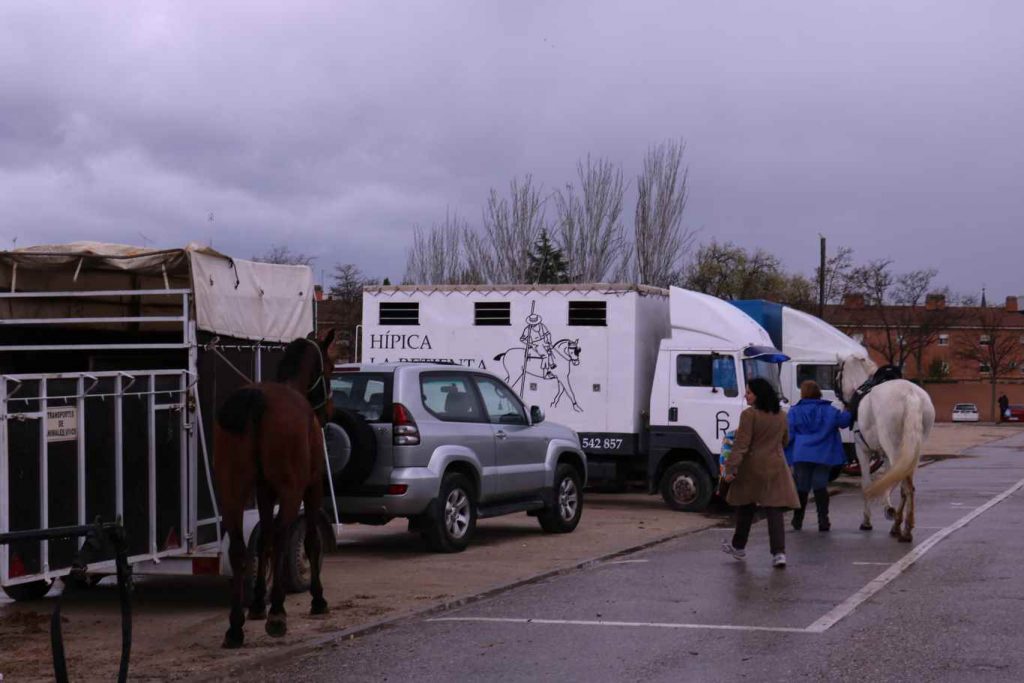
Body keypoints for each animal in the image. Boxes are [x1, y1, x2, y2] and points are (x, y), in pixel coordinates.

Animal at [214, 327, 337, 651]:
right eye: (331, 368)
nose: (329, 412)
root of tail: (255, 400)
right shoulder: (312, 485)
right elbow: (309, 541)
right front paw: (317, 598)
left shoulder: (264, 491)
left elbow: (264, 540)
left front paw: (258, 603)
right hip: (292, 490)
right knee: (283, 538)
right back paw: (278, 613)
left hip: (231, 491)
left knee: (240, 548)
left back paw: (235, 626)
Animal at [839, 356, 937, 540]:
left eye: (838, 372)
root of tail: (911, 395)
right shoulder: (884, 455)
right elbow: (889, 479)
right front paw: (888, 509)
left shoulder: (862, 451)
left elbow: (867, 483)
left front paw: (867, 520)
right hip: (913, 450)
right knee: (906, 485)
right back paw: (900, 525)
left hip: (894, 447)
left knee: (906, 486)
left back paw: (903, 528)